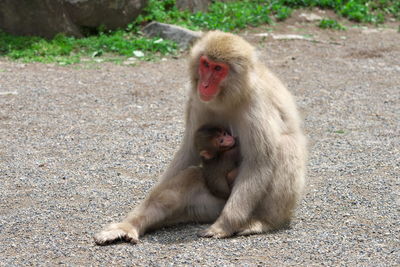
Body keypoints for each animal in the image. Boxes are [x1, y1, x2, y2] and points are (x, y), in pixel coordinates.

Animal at [94, 30, 306, 246]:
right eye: (206, 64)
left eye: (219, 68)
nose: (204, 84)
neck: (229, 97)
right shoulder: (196, 100)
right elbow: (189, 152)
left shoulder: (257, 105)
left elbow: (259, 162)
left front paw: (224, 225)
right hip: (208, 206)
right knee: (185, 180)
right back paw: (131, 226)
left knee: (286, 146)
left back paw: (262, 222)